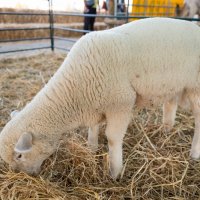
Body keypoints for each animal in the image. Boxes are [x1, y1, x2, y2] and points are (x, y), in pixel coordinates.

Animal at [0, 17, 200, 179]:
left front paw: (115, 172)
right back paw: (166, 131)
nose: (26, 176)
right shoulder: (94, 102)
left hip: (195, 87)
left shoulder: (121, 103)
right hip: (174, 85)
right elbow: (93, 128)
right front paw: (91, 148)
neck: (74, 92)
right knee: (170, 105)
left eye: (19, 155)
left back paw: (194, 153)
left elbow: (112, 138)